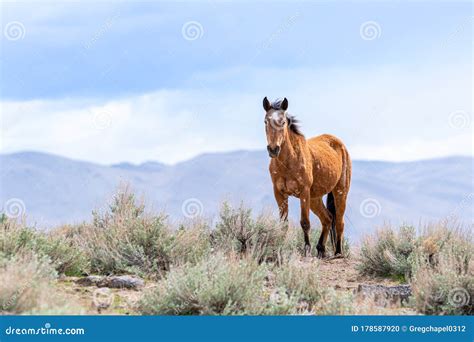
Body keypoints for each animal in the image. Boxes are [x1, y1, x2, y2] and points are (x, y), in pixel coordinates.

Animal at [262, 96, 352, 256]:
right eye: (265, 121)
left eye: (283, 122)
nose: (273, 149)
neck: (288, 162)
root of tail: (340, 144)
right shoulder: (279, 193)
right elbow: (283, 224)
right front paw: (280, 248)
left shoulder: (303, 192)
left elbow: (305, 223)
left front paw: (306, 250)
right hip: (315, 198)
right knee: (327, 219)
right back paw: (321, 249)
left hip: (340, 192)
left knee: (339, 222)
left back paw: (338, 252)